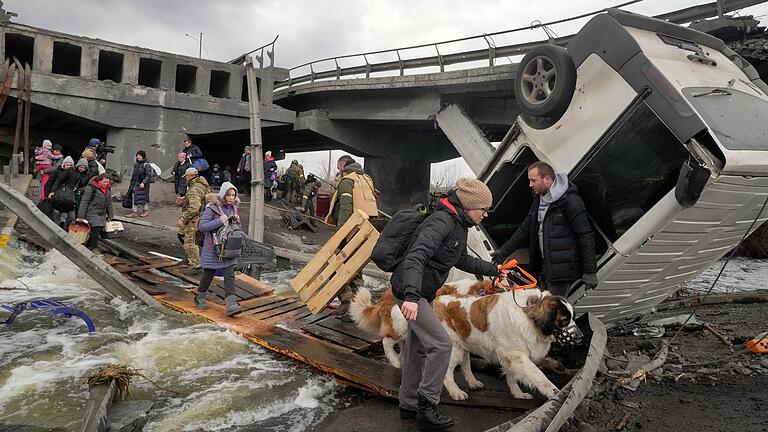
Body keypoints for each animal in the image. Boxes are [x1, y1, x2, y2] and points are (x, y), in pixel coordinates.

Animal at [348, 280, 576, 402]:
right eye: (564, 321)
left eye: (573, 318)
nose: (581, 337)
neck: (528, 314)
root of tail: (433, 302)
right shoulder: (517, 356)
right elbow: (538, 375)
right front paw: (554, 391)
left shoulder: (510, 355)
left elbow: (512, 377)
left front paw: (518, 394)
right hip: (452, 348)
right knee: (445, 371)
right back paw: (455, 391)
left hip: (462, 342)